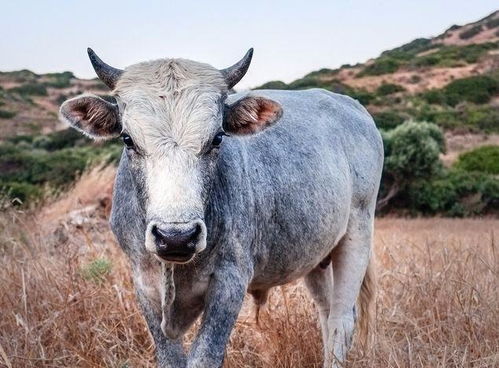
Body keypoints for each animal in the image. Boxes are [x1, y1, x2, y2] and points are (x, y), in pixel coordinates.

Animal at [60, 49, 384, 368]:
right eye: (128, 139)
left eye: (217, 138)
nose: (176, 237)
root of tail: (350, 105)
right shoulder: (144, 283)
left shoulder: (230, 282)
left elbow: (205, 356)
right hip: (316, 256)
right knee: (326, 313)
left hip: (357, 234)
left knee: (342, 320)